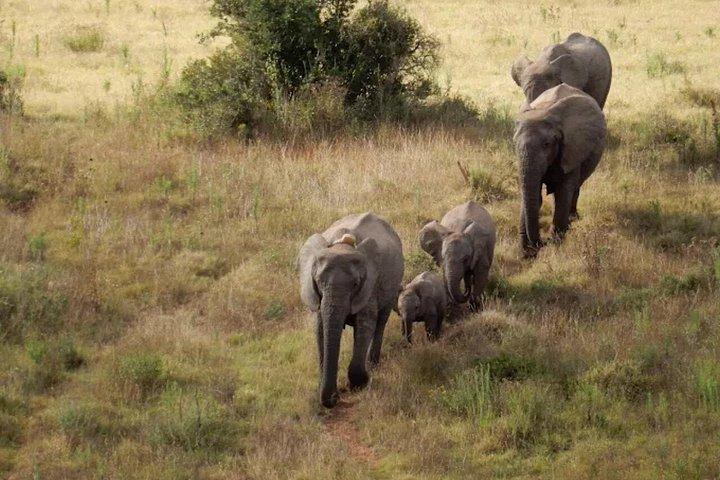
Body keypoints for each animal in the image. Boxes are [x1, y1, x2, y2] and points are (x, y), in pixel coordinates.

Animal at [298, 213, 404, 408]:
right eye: (318, 282)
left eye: (355, 284)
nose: (333, 398)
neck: (341, 245)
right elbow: (320, 328)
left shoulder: (370, 283)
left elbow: (365, 324)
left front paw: (359, 383)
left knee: (381, 321)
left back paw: (373, 365)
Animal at [514, 83, 606, 258]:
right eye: (514, 144)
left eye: (546, 144)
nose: (543, 243)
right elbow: (533, 194)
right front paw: (527, 255)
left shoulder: (573, 148)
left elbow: (564, 191)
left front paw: (557, 246)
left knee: (574, 188)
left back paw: (572, 220)